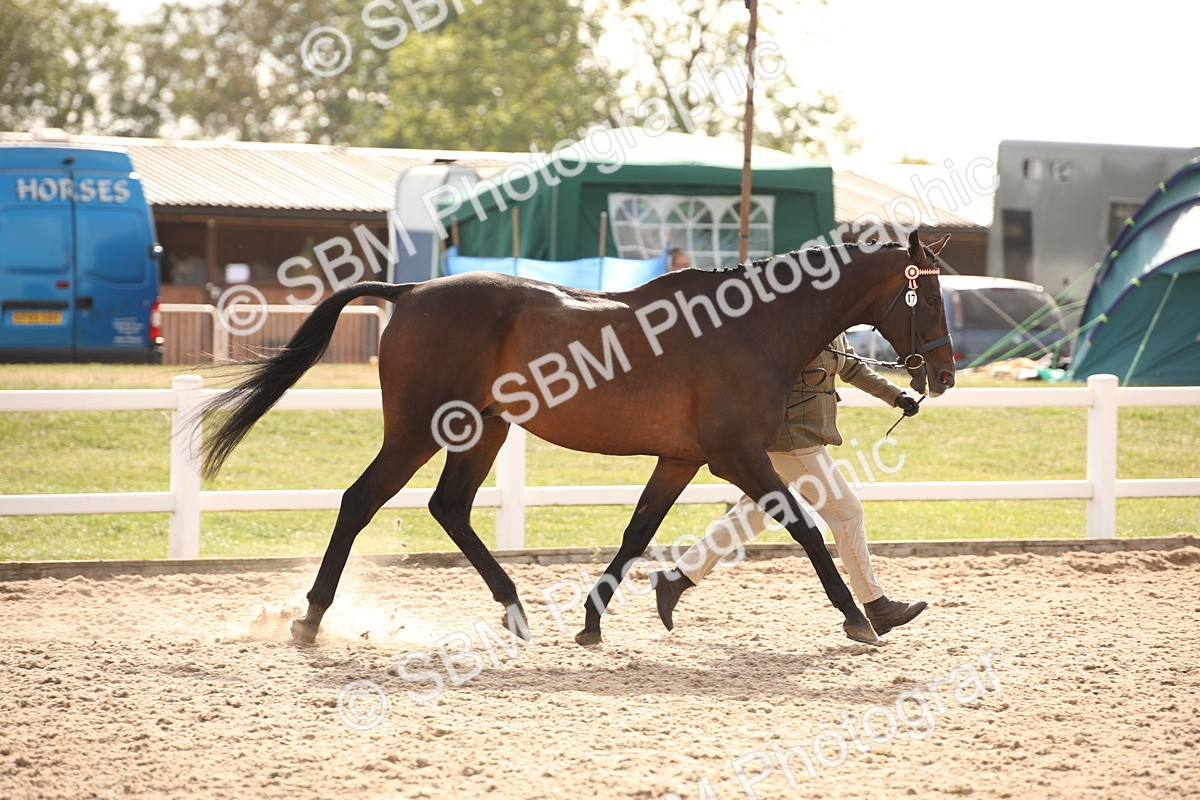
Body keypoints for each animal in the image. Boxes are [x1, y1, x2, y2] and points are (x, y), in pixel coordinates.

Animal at [200, 230, 955, 647]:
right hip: (418, 430)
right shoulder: (734, 456)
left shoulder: (681, 458)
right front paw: (860, 619)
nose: (943, 374)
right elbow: (805, 528)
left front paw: (594, 622)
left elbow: (637, 533)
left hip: (482, 430)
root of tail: (409, 291)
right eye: (928, 295)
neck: (749, 326)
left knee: (449, 508)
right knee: (360, 501)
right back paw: (309, 622)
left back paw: (515, 611)